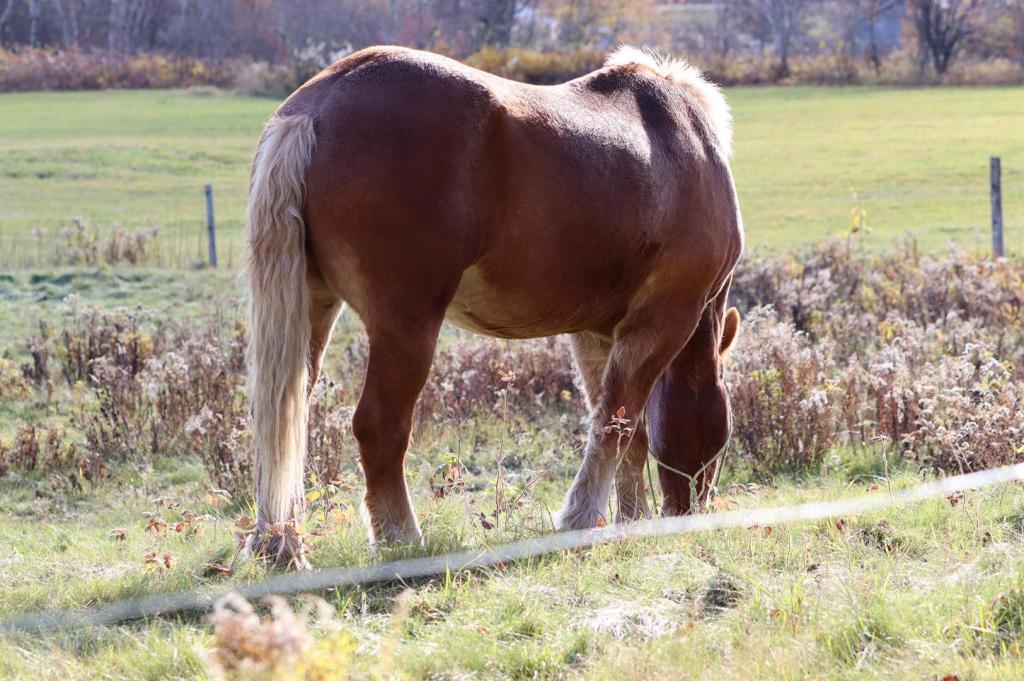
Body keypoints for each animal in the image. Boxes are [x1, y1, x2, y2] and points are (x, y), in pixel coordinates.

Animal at [247, 43, 745, 561]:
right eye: (726, 431)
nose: (691, 511)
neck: (682, 139)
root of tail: (319, 103)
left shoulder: (596, 335)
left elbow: (624, 426)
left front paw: (629, 520)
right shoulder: (662, 323)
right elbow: (616, 420)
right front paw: (583, 518)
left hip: (313, 310)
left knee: (285, 415)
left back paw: (280, 544)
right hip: (406, 327)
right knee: (379, 425)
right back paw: (401, 537)